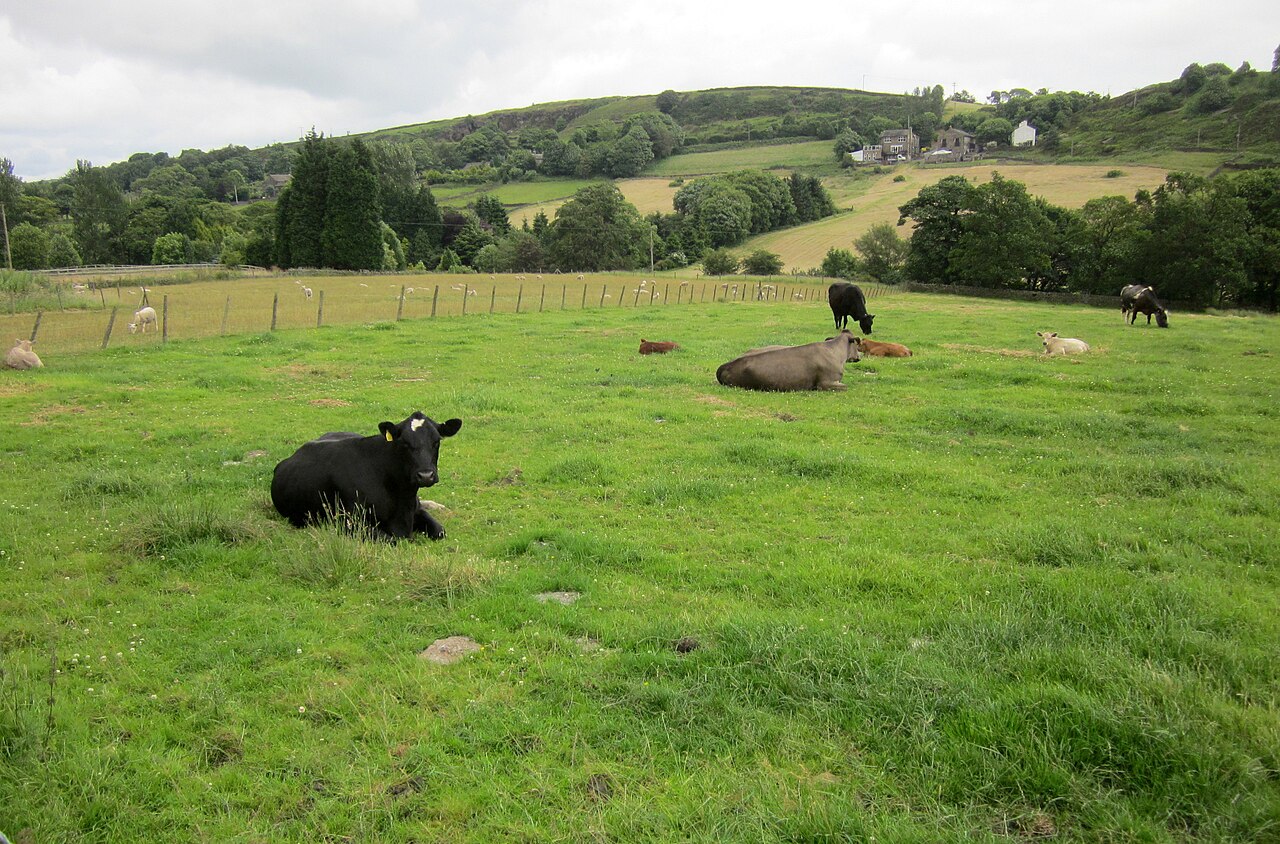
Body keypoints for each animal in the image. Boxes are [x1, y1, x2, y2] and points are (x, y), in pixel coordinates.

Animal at [271, 411, 462, 541]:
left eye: (436, 441)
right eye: (404, 442)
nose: (426, 475)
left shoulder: (416, 509)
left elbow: (440, 531)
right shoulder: (349, 522)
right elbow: (389, 539)